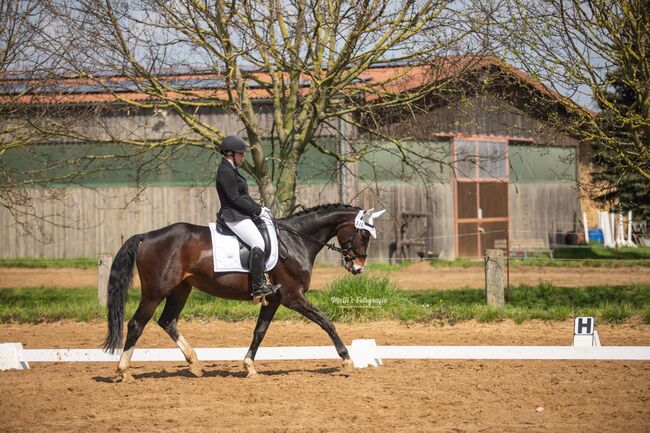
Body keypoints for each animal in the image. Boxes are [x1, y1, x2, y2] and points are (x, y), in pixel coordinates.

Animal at [102, 203, 380, 382]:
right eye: (364, 235)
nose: (357, 268)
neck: (297, 241)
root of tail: (147, 235)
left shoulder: (274, 299)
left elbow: (259, 332)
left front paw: (249, 367)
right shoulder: (293, 297)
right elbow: (326, 322)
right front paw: (347, 360)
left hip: (181, 289)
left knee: (167, 321)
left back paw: (195, 364)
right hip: (155, 291)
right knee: (137, 324)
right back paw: (124, 371)